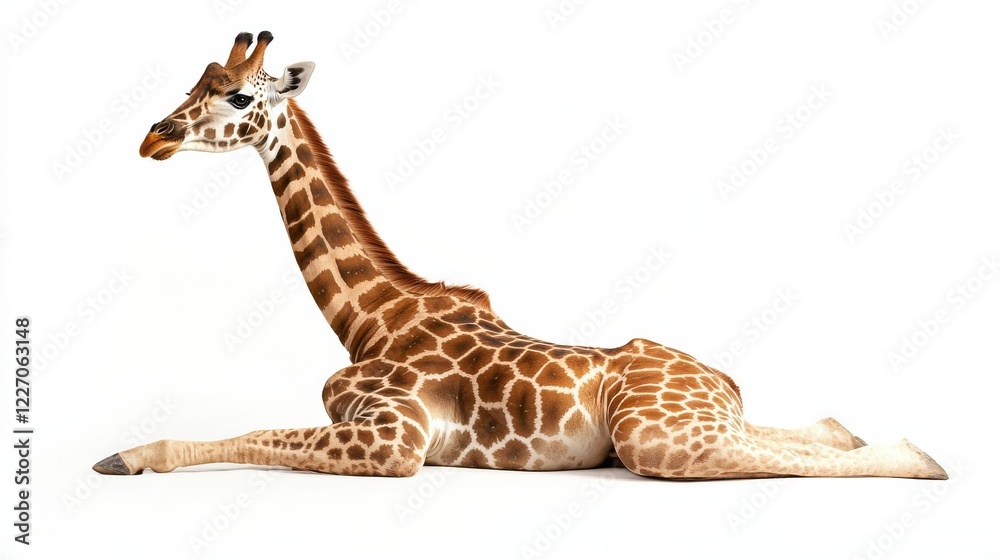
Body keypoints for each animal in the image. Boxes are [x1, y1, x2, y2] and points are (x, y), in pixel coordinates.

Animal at [94, 31, 947, 480]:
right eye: (195, 79)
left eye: (241, 96)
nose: (152, 139)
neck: (368, 320)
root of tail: (720, 380)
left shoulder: (396, 440)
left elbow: (241, 432)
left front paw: (123, 457)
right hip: (695, 419)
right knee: (806, 432)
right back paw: (869, 433)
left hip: (654, 436)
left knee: (788, 454)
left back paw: (921, 458)